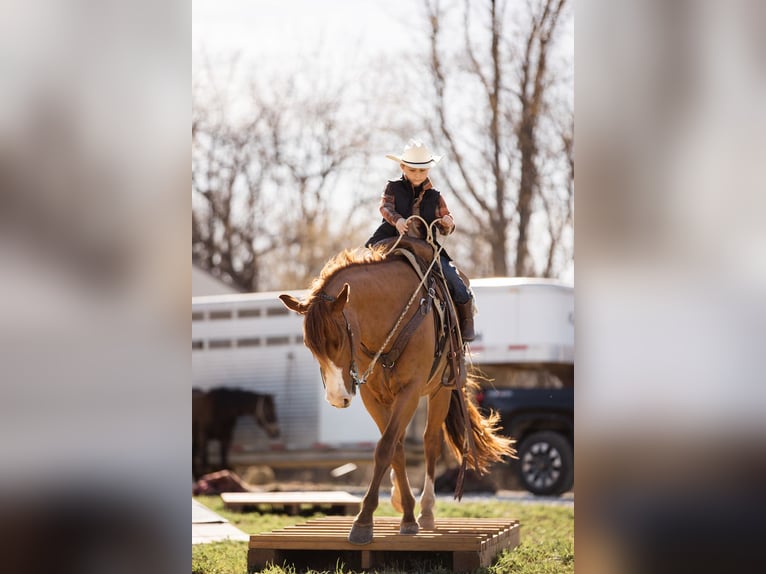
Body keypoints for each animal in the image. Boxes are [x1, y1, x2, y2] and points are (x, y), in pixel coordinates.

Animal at [279, 231, 515, 545]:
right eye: (309, 345)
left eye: (338, 340)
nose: (337, 398)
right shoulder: (373, 396)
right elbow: (395, 449)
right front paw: (404, 513)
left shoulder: (410, 391)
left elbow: (385, 448)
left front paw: (365, 521)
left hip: (441, 390)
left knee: (430, 443)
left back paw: (427, 511)